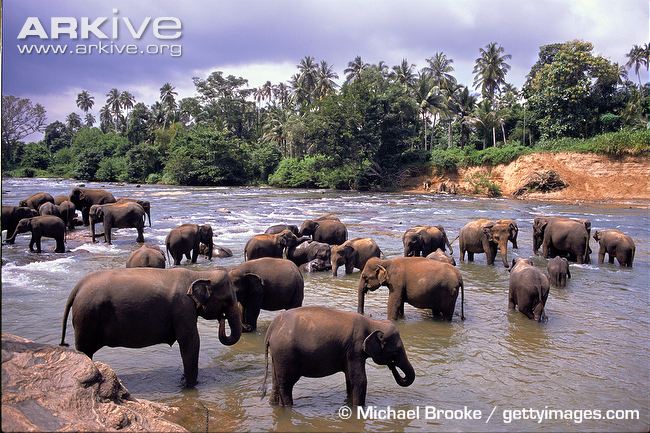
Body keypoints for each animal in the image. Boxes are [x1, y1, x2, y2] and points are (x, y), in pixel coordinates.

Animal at [59, 267, 242, 387]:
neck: (199, 274)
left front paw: (184, 381)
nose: (222, 318)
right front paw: (190, 385)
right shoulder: (183, 308)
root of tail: (77, 288)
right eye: (227, 300)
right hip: (87, 317)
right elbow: (190, 341)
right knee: (85, 350)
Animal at [261, 306, 415, 407]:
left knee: (276, 381)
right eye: (395, 352)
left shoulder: (349, 352)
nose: (392, 366)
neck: (373, 323)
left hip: (277, 356)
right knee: (286, 385)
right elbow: (360, 380)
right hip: (285, 355)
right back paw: (289, 407)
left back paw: (274, 405)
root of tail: (272, 328)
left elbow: (350, 379)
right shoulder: (355, 348)